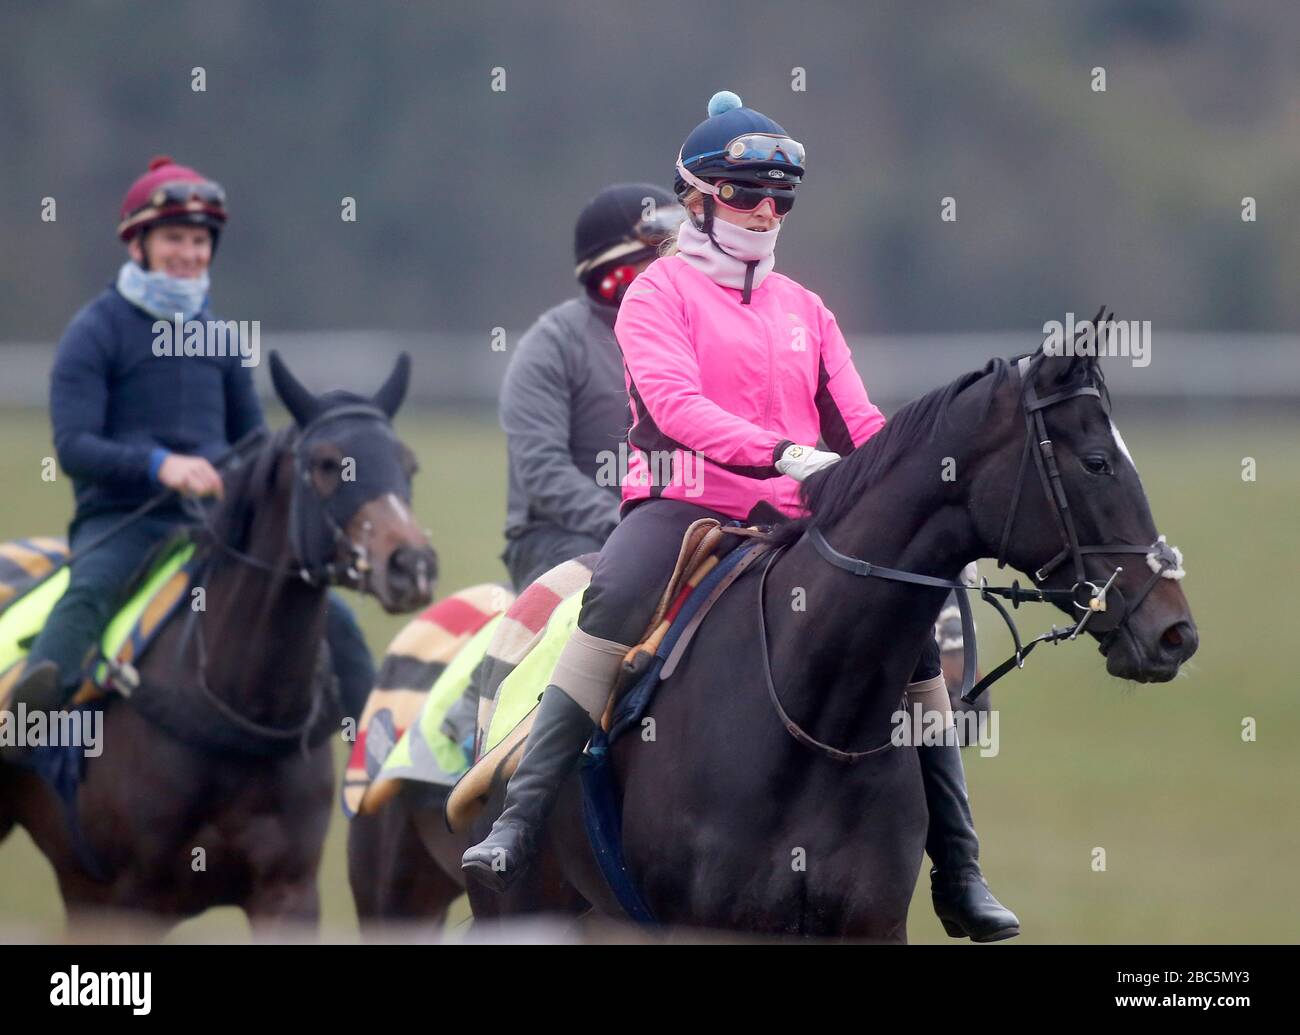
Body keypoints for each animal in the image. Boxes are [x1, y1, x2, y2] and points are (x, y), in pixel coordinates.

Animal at [0, 351, 436, 936]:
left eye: (407, 465)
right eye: (327, 463)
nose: (411, 565)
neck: (234, 707)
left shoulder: (287, 892)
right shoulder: (124, 901)